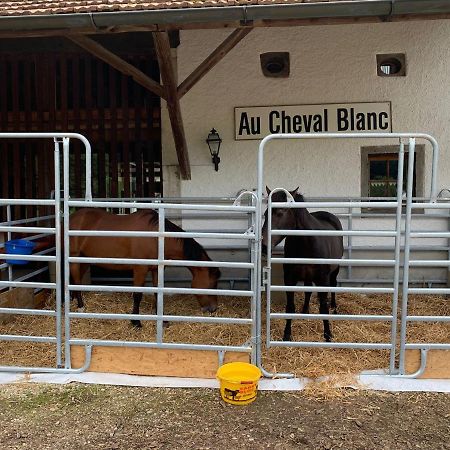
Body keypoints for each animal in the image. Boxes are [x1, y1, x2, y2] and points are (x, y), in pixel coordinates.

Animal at [68, 207, 221, 326]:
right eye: (212, 284)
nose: (213, 309)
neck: (157, 238)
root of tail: (73, 217)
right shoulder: (140, 269)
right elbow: (137, 295)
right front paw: (136, 322)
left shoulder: (157, 270)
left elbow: (157, 293)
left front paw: (163, 321)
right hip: (75, 258)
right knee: (76, 280)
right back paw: (81, 307)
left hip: (85, 260)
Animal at [262, 189, 342, 342]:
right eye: (265, 214)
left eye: (281, 212)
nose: (264, 246)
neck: (306, 243)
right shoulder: (289, 279)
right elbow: (290, 307)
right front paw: (287, 334)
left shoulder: (323, 280)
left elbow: (323, 308)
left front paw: (327, 335)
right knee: (308, 291)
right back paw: (305, 311)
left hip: (335, 270)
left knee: (334, 284)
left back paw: (334, 307)